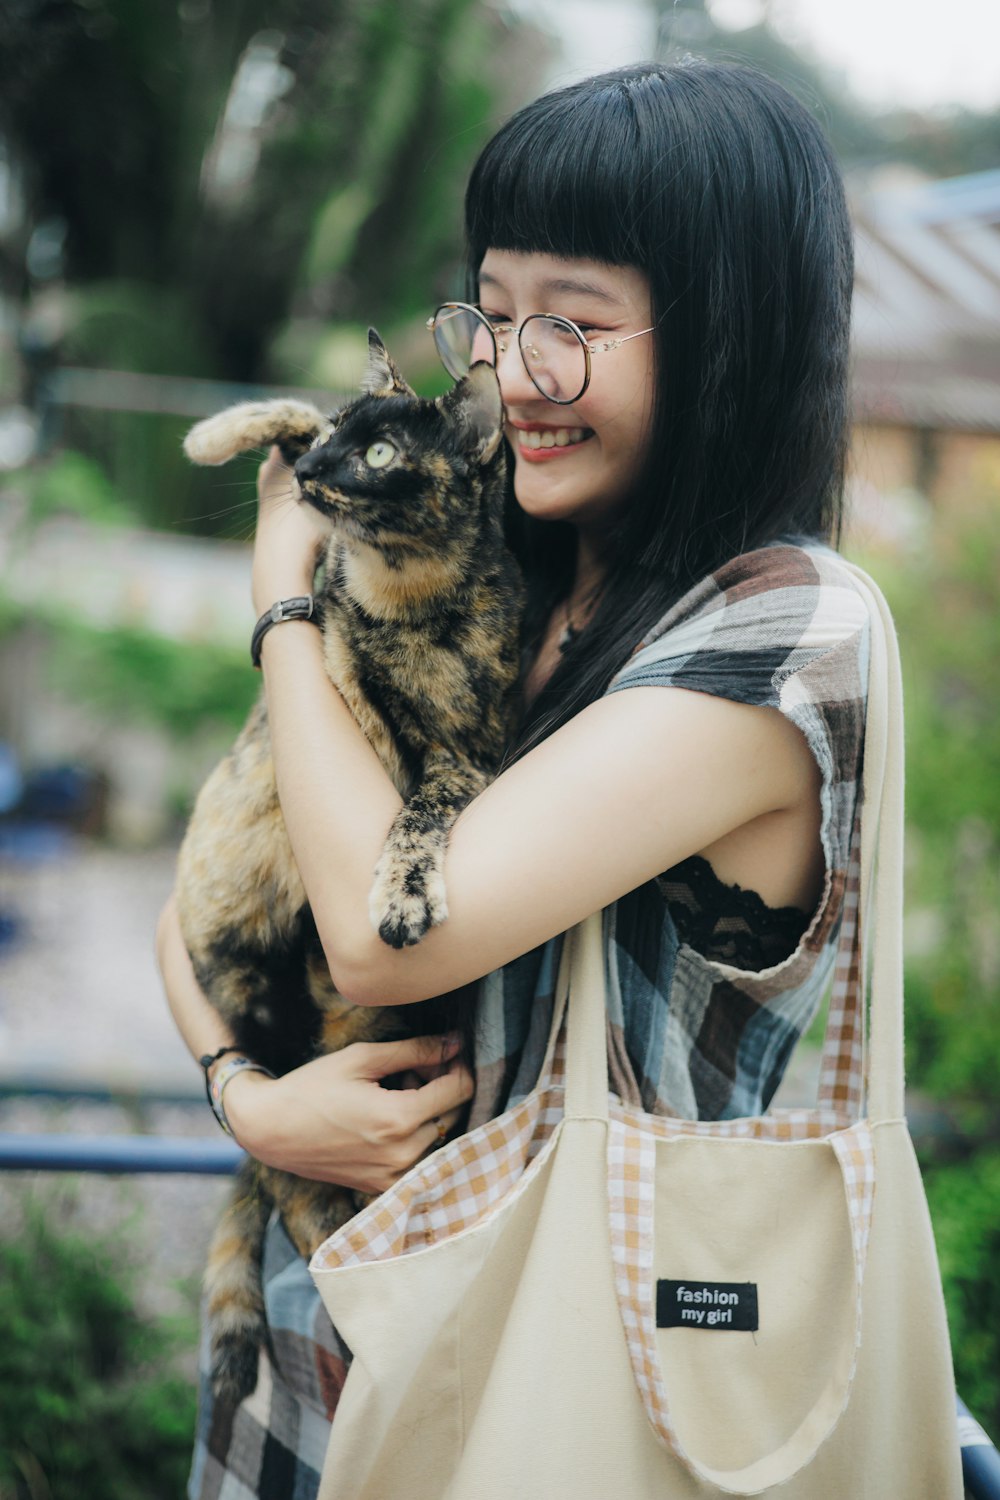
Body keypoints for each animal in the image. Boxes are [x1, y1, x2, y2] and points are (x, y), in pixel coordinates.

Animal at [176, 334, 527, 1398]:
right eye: (342, 432)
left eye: (380, 458)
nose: (315, 474)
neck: (401, 598)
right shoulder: (334, 610)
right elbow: (283, 412)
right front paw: (217, 435)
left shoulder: (466, 761)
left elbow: (416, 804)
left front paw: (403, 895)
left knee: (308, 1206)